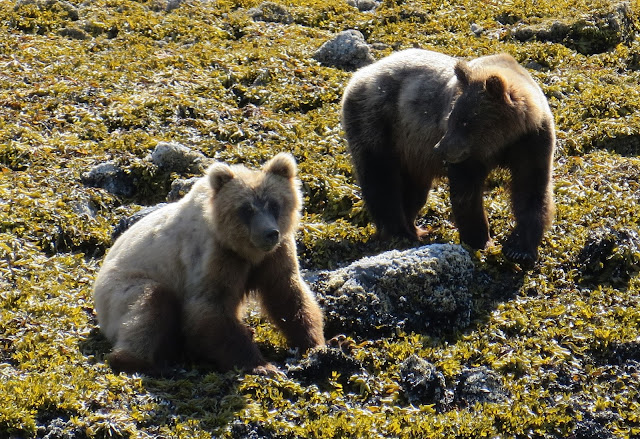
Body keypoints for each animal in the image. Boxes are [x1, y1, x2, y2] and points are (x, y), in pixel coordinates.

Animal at [92, 153, 325, 374]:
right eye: (246, 209)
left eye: (274, 204)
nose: (270, 233)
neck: (246, 252)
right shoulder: (214, 255)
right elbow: (209, 307)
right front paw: (261, 365)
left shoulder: (275, 256)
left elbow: (288, 294)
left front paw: (315, 344)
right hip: (120, 290)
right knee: (148, 304)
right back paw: (144, 363)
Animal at [341, 48, 555, 266]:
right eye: (452, 118)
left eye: (465, 122)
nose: (439, 149)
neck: (502, 142)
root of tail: (361, 72)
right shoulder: (469, 155)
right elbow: (466, 193)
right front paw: (481, 241)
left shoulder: (531, 141)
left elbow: (532, 189)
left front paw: (519, 249)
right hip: (378, 123)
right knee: (381, 179)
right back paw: (399, 233)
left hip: (412, 153)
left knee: (414, 190)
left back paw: (415, 229)